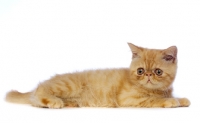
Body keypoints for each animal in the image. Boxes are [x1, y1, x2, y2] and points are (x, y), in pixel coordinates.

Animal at [5, 43, 190, 107]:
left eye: (158, 72)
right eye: (140, 71)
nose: (148, 76)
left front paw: (182, 99)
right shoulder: (128, 99)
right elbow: (153, 100)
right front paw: (171, 101)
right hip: (67, 85)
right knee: (37, 93)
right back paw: (54, 101)